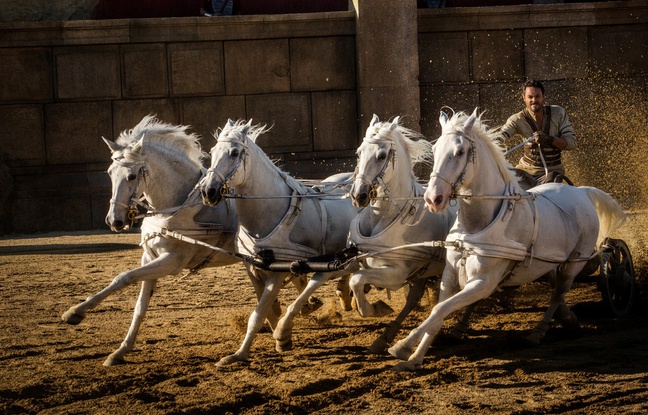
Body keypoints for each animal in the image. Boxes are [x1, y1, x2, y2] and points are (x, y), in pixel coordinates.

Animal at [60, 115, 244, 366]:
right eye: (109, 172)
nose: (114, 220)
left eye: (131, 176)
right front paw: (121, 350)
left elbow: (123, 277)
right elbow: (140, 305)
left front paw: (76, 311)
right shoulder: (149, 257)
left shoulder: (171, 261)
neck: (178, 206)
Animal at [200, 120, 360, 368]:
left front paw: (246, 351)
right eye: (212, 151)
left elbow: (258, 314)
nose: (208, 191)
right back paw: (339, 295)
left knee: (335, 272)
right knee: (338, 272)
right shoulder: (252, 267)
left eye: (234, 152)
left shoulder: (278, 269)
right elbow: (264, 310)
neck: (270, 211)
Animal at [344, 114, 456, 354]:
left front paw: (374, 308)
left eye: (381, 155)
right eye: (358, 152)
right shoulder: (355, 259)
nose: (358, 196)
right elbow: (350, 277)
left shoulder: (396, 274)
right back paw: (384, 338)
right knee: (413, 299)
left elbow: (357, 280)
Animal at [388, 109, 624, 372]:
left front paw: (401, 345)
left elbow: (440, 309)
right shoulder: (449, 276)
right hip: (551, 264)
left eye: (459, 152)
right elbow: (437, 314)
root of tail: (581, 191)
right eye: (436, 149)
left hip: (573, 264)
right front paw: (414, 357)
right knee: (555, 292)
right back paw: (566, 320)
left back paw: (538, 332)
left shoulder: (484, 282)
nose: (432, 198)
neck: (476, 226)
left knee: (557, 295)